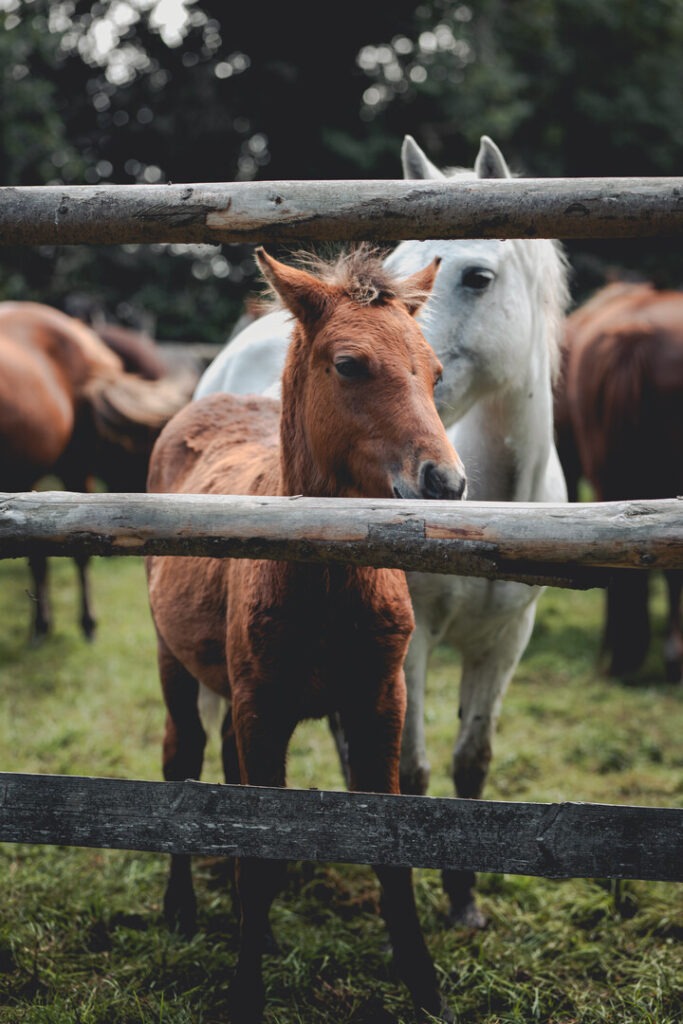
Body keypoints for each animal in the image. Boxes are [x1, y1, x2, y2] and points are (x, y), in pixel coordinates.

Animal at [146, 245, 466, 1023]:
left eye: (435, 371)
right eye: (349, 365)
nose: (446, 481)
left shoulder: (379, 698)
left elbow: (385, 843)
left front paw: (424, 987)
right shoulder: (264, 703)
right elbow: (257, 847)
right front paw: (244, 993)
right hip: (175, 662)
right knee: (182, 756)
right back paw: (181, 908)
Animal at [191, 135, 571, 928]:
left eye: (478, 276)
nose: (425, 387)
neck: (494, 510)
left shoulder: (505, 643)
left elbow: (469, 763)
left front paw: (464, 898)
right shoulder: (415, 641)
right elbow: (415, 769)